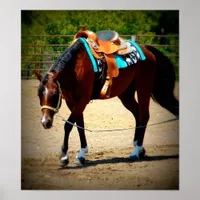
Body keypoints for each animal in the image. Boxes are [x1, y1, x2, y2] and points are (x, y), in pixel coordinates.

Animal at [34, 36, 178, 167]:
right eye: (39, 94)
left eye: (54, 94)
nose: (45, 122)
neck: (77, 66)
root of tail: (147, 50)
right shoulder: (72, 102)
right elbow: (79, 125)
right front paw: (81, 155)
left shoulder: (82, 101)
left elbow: (68, 125)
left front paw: (64, 157)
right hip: (126, 95)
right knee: (138, 115)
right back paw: (140, 149)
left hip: (144, 88)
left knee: (144, 116)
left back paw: (136, 152)